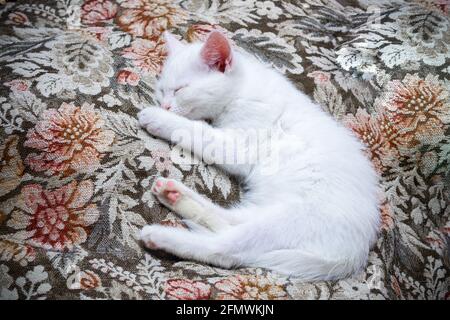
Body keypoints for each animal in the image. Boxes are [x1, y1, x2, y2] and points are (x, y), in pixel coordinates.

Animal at [138, 30, 380, 280]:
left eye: (180, 89)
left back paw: (161, 235)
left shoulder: (241, 145)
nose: (164, 106)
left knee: (226, 248)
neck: (242, 88)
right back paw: (174, 195)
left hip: (292, 220)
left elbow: (198, 130)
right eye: (161, 90)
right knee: (229, 222)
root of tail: (353, 257)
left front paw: (158, 118)